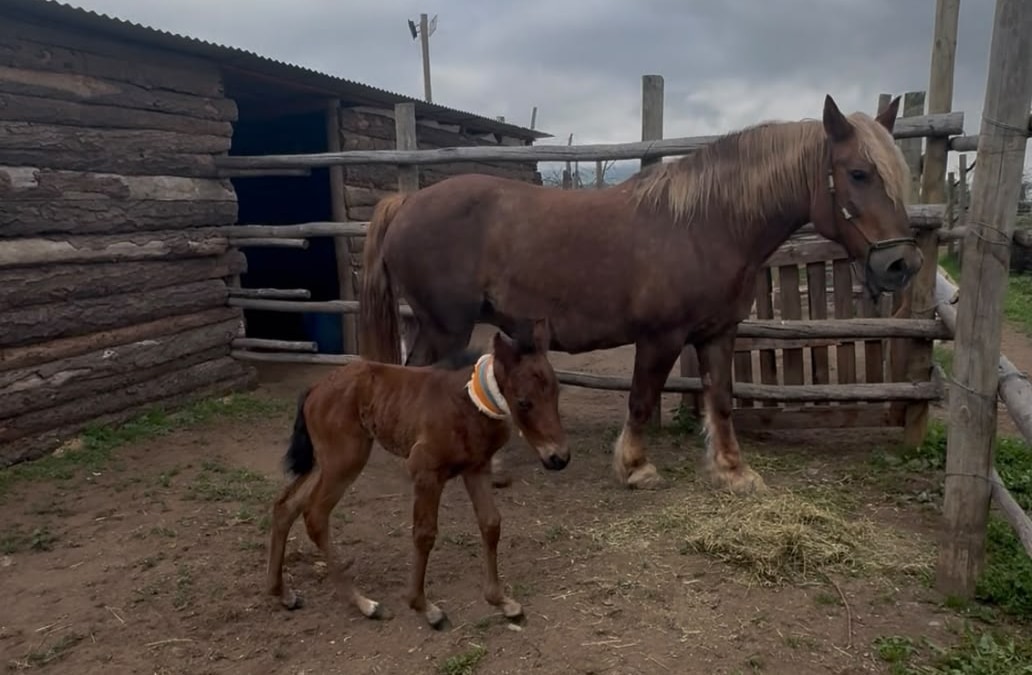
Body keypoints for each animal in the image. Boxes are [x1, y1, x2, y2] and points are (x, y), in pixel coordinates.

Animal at [264, 318, 568, 630]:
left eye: (556, 392)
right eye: (523, 402)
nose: (558, 457)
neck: (469, 402)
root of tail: (315, 388)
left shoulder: (476, 469)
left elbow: (491, 524)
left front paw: (502, 601)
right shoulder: (425, 471)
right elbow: (424, 534)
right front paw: (424, 607)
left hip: (325, 462)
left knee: (285, 506)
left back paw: (282, 593)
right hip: (344, 461)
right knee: (315, 515)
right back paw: (365, 604)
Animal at [356, 94, 921, 495]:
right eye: (858, 173)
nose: (902, 264)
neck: (706, 225)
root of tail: (406, 202)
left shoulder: (718, 333)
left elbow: (721, 400)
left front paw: (733, 471)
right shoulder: (660, 337)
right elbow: (642, 399)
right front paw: (635, 467)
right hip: (445, 326)